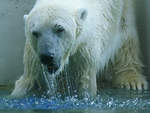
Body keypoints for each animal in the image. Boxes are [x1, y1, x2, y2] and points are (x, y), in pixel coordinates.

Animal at [10, 0, 148, 97]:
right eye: (35, 32)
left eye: (59, 29)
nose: (47, 56)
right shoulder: (34, 54)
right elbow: (29, 79)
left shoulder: (85, 49)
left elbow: (85, 82)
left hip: (122, 10)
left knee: (126, 38)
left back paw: (131, 80)